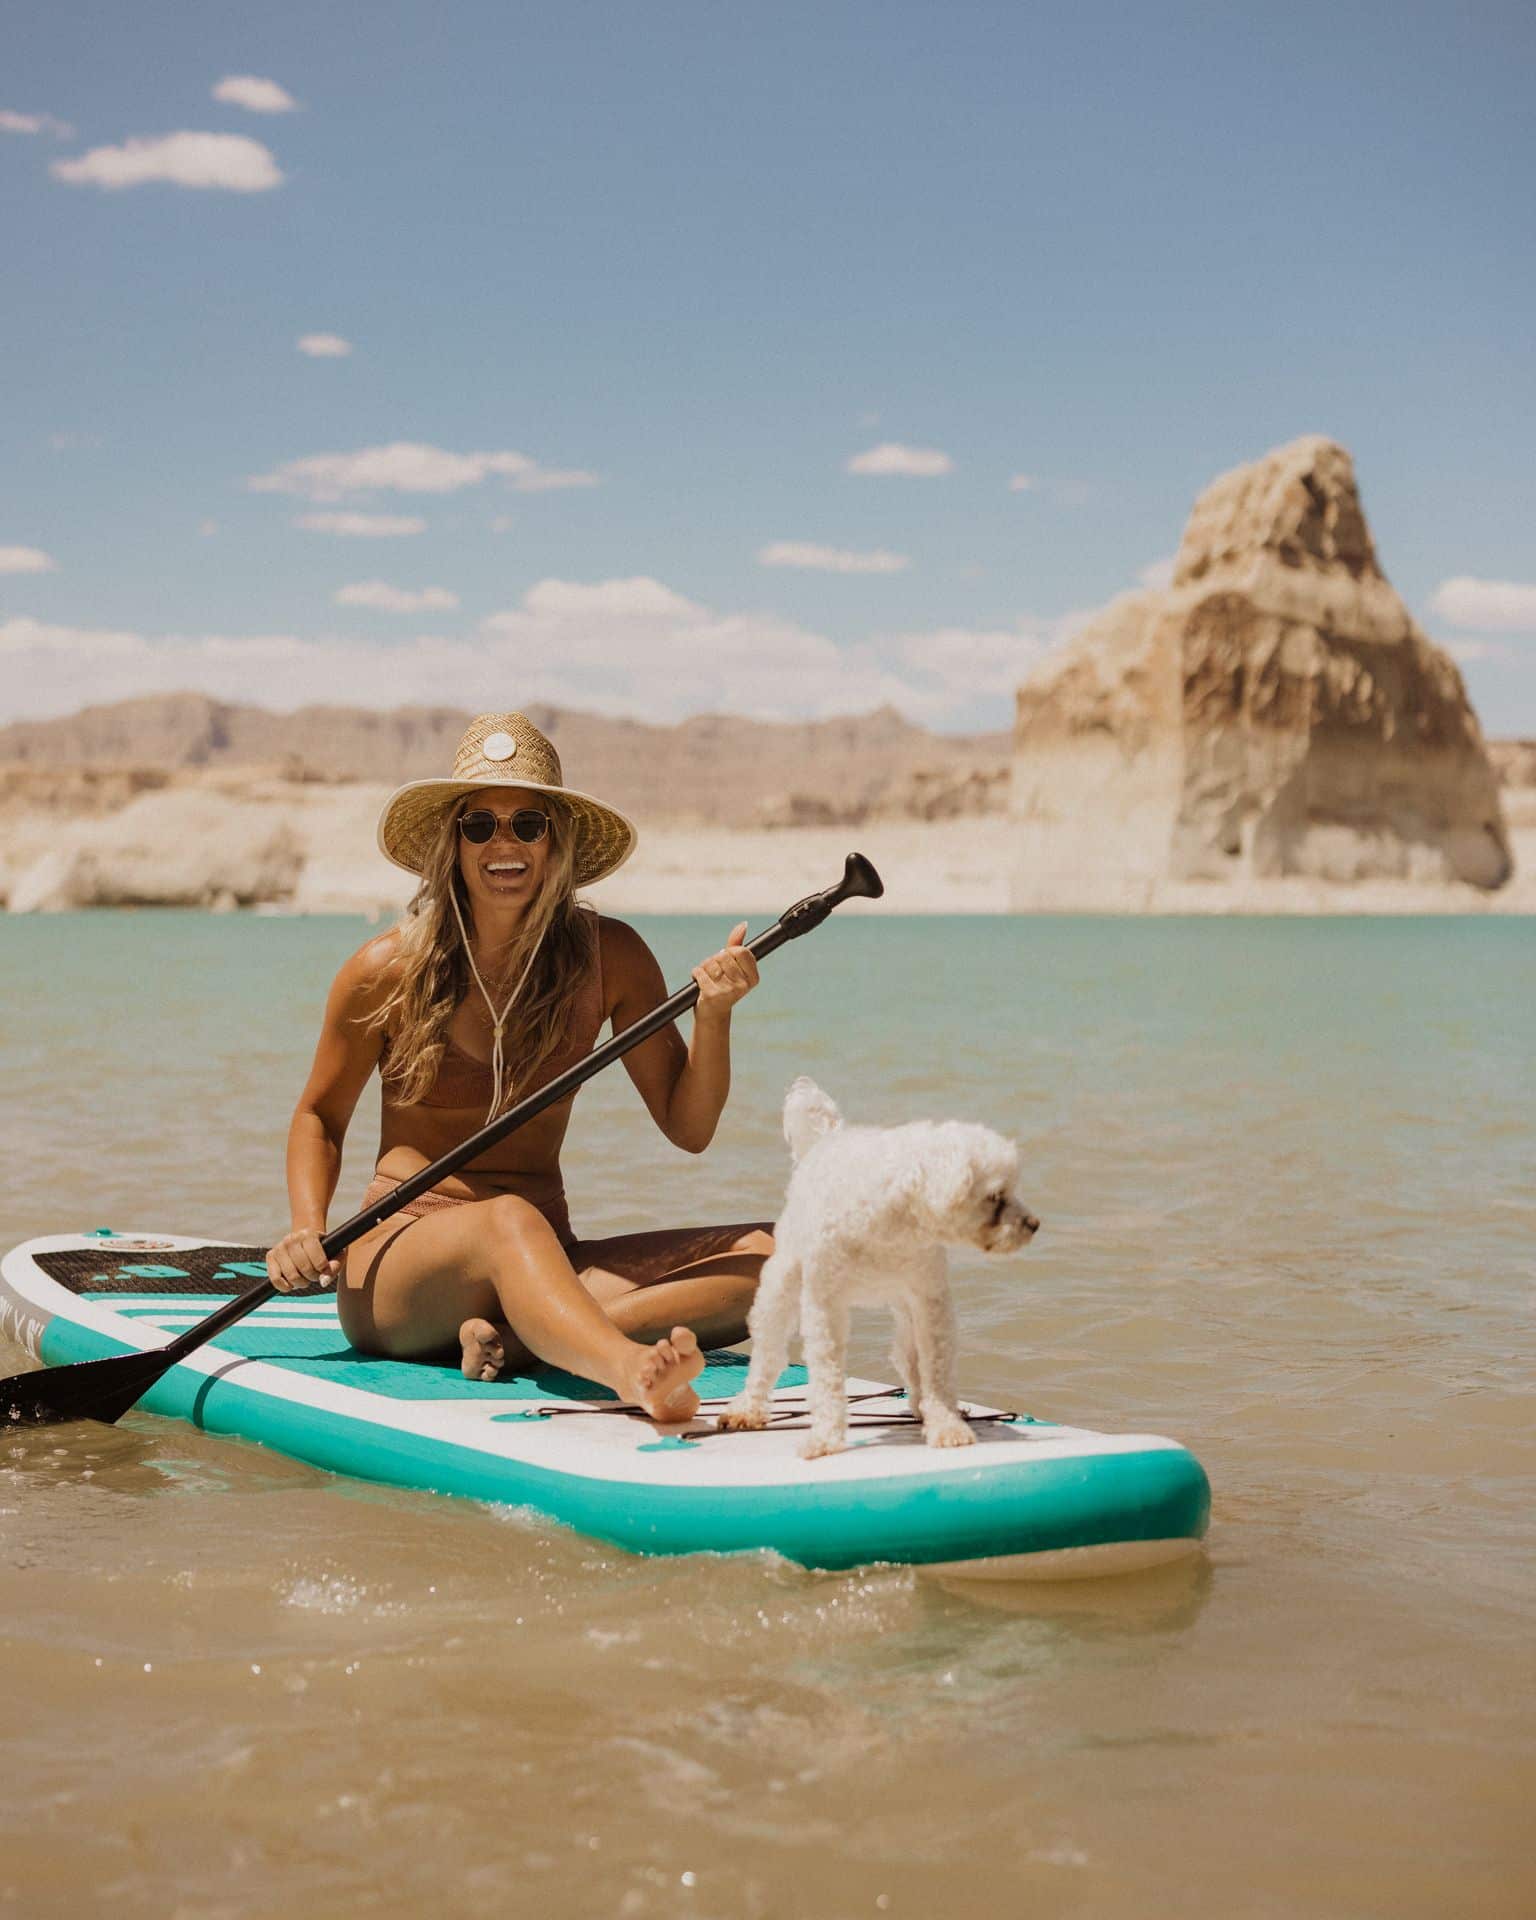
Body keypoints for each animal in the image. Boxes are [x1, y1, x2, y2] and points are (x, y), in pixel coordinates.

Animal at [721, 1082, 1044, 1451]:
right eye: (995, 1196)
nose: (1034, 1224)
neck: (893, 1213)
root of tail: (827, 1139)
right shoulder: (824, 1303)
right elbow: (827, 1376)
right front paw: (825, 1438)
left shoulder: (929, 1299)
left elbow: (937, 1369)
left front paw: (947, 1425)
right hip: (780, 1285)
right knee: (767, 1354)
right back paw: (747, 1408)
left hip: (904, 1308)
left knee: (909, 1360)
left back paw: (920, 1406)